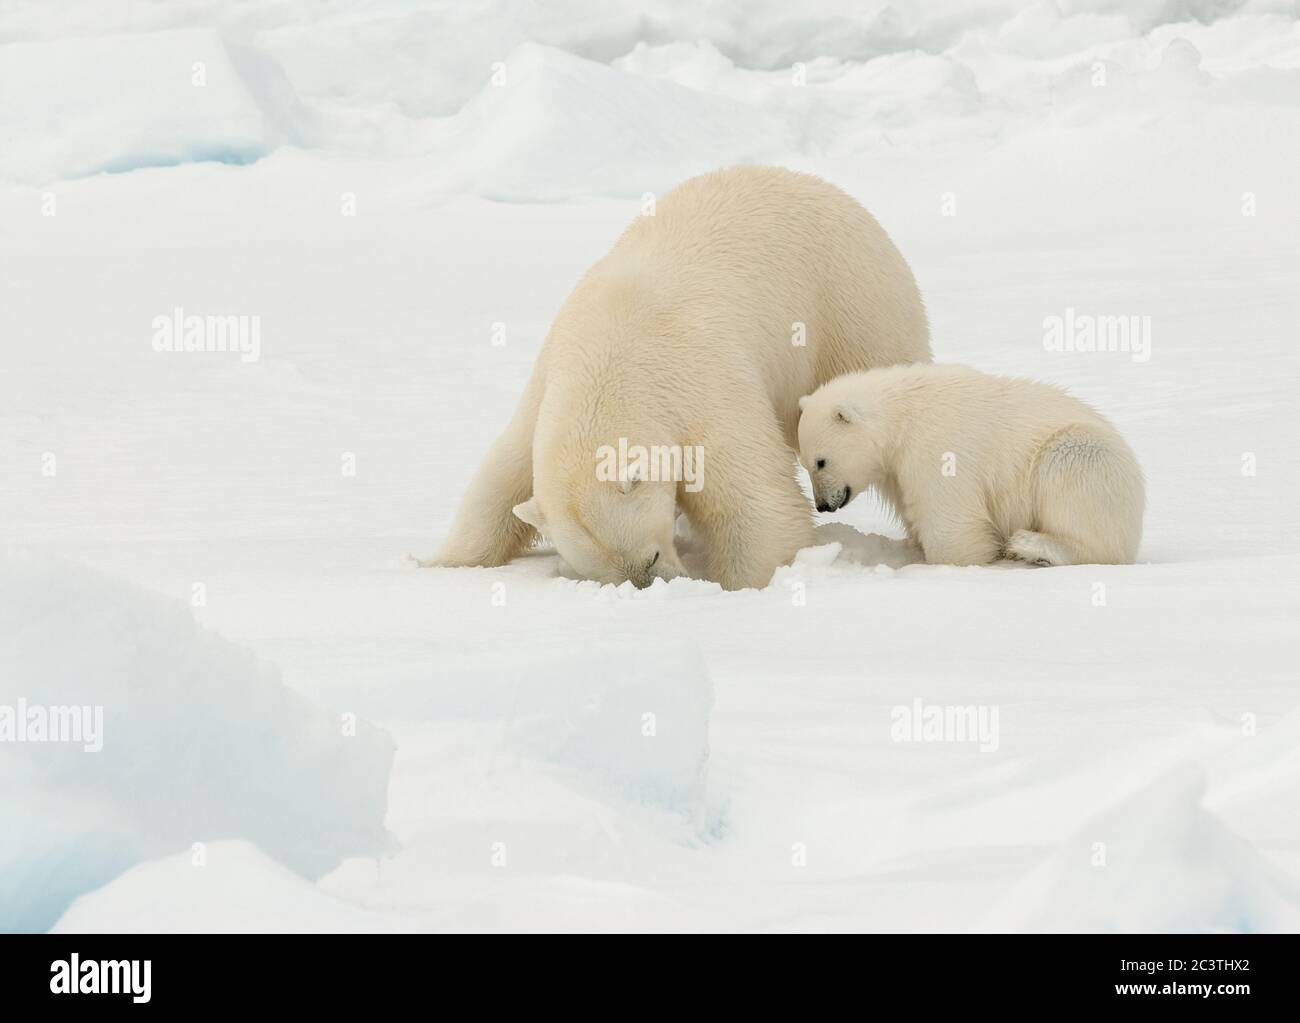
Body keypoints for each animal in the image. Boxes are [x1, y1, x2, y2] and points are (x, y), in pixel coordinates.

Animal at [431, 163, 930, 587]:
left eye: (650, 555)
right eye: (611, 577)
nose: (656, 584)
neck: (612, 356)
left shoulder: (695, 385)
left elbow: (754, 500)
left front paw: (752, 581)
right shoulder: (548, 386)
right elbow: (502, 476)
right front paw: (444, 563)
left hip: (850, 307)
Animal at [795, 361, 1144, 569]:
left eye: (820, 462)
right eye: (806, 464)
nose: (824, 504)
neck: (901, 417)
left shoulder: (938, 449)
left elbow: (950, 523)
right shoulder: (898, 469)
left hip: (1081, 455)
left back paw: (1030, 547)